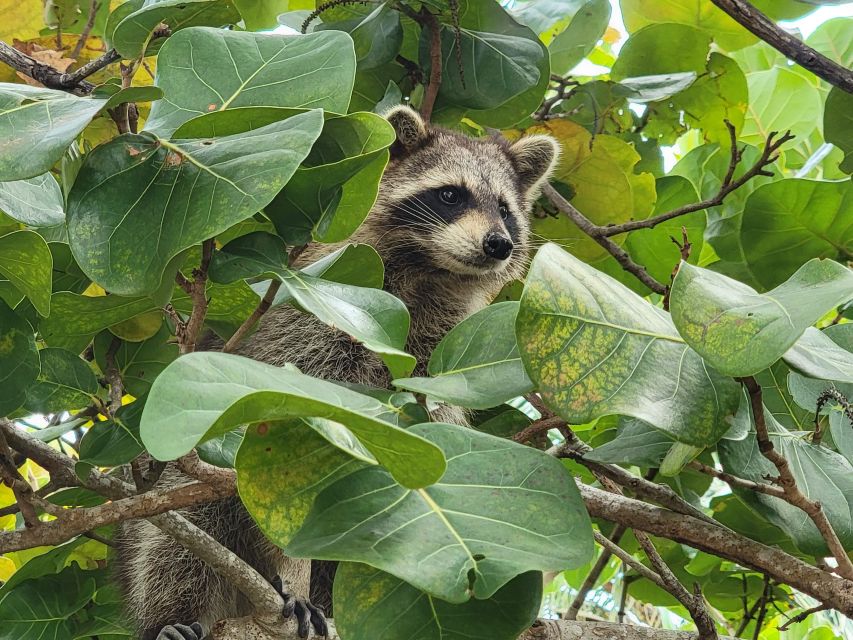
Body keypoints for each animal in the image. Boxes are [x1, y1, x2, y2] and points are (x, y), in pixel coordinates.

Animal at [116, 106, 560, 640]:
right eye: (451, 195)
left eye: (505, 209)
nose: (499, 243)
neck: (427, 273)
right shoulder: (315, 324)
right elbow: (280, 473)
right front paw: (292, 574)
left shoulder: (434, 363)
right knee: (184, 535)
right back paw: (176, 615)